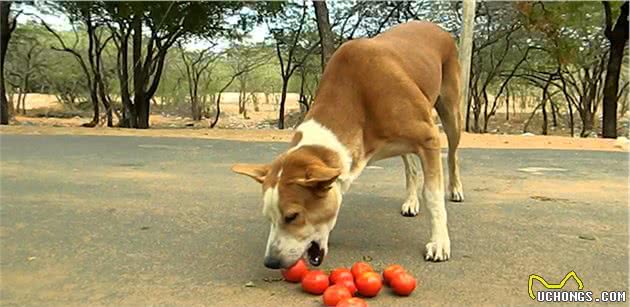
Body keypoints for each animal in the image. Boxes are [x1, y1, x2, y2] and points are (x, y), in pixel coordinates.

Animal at [232, 21, 464, 270]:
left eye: (292, 216)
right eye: (269, 218)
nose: (271, 262)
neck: (358, 95)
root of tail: (432, 26)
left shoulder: (429, 139)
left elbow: (433, 196)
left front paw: (439, 242)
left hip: (451, 112)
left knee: (452, 154)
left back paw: (456, 189)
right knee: (410, 165)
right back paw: (411, 201)